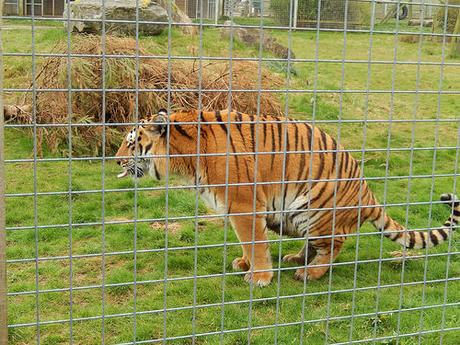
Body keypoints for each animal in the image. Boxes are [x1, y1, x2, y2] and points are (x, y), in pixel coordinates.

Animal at [116, 109, 460, 286]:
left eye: (132, 143)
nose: (116, 160)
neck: (184, 156)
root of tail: (367, 190)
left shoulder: (243, 206)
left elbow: (254, 242)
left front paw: (259, 277)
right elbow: (248, 243)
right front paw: (244, 263)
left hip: (316, 210)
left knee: (334, 245)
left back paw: (310, 272)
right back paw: (296, 258)